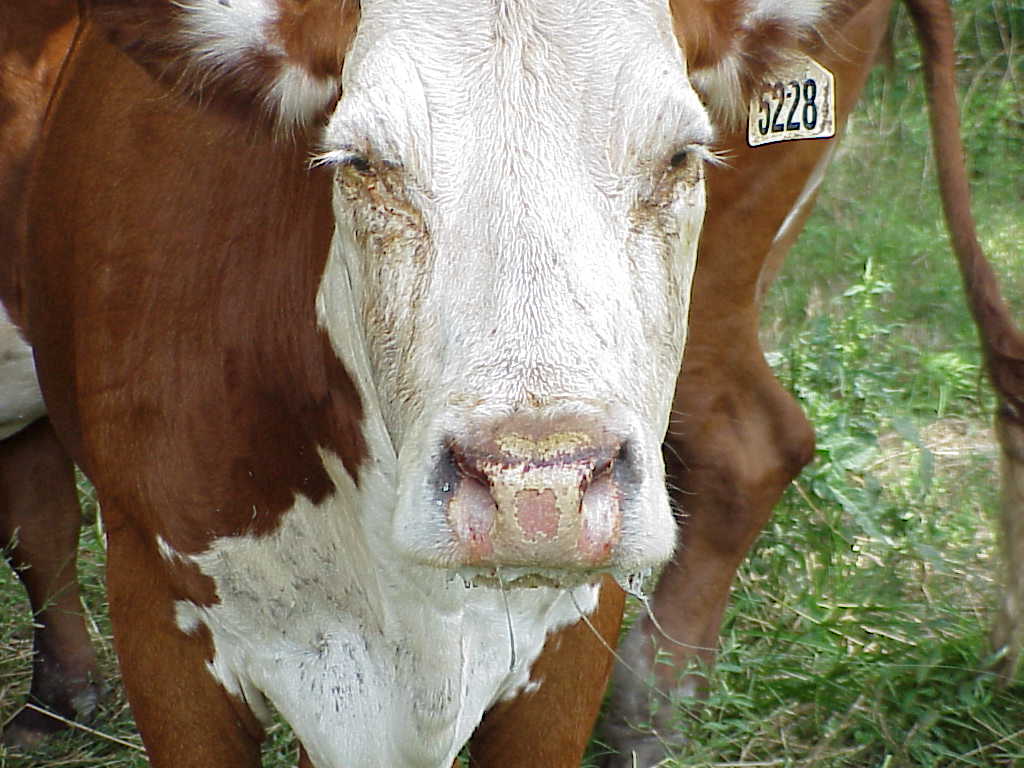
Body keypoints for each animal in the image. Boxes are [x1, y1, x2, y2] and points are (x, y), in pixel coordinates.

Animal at [3, 1, 1020, 768]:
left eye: (682, 155)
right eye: (360, 161)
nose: (540, 490)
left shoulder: (569, 635)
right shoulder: (159, 603)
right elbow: (38, 516)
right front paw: (58, 699)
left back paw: (647, 722)